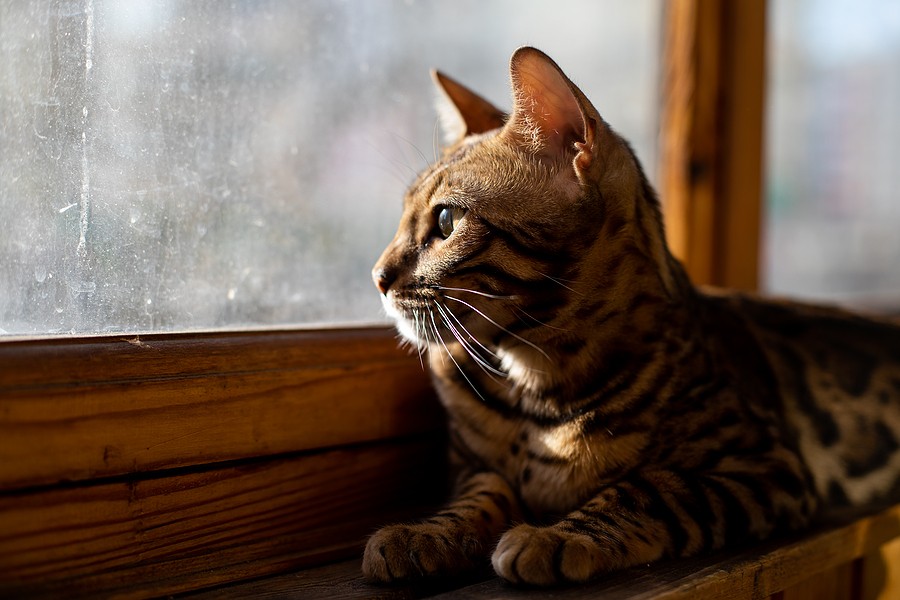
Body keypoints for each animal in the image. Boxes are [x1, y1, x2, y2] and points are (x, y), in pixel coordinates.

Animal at [362, 47, 900, 584]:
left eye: (446, 221)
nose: (377, 277)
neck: (535, 382)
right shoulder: (472, 466)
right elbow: (479, 494)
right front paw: (425, 532)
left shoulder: (762, 464)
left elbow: (649, 489)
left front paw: (556, 537)